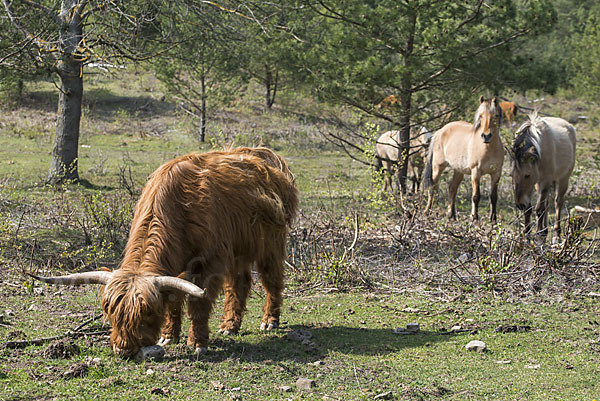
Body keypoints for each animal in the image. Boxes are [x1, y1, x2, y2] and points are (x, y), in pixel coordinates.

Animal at [30, 148, 298, 356]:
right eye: (110, 310)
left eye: (146, 312)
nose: (123, 349)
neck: (176, 209)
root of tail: (260, 154)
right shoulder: (176, 266)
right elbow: (173, 299)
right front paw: (169, 335)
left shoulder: (209, 262)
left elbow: (198, 303)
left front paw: (197, 343)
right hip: (239, 249)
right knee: (239, 283)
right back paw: (230, 326)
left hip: (271, 244)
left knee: (271, 280)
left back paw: (269, 321)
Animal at [510, 112, 576, 241]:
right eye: (511, 175)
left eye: (527, 175)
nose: (519, 205)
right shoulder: (535, 183)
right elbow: (529, 209)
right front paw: (527, 234)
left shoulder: (544, 180)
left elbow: (539, 208)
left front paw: (539, 235)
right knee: (547, 204)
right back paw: (545, 230)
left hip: (563, 179)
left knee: (557, 202)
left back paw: (556, 234)